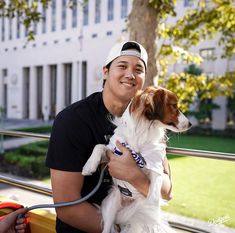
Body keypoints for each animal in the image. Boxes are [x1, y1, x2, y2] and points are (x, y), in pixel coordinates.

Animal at [81, 86, 192, 232]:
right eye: (174, 105)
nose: (190, 124)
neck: (142, 132)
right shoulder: (112, 152)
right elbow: (99, 146)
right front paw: (89, 166)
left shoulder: (155, 166)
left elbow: (154, 194)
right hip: (112, 202)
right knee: (107, 227)